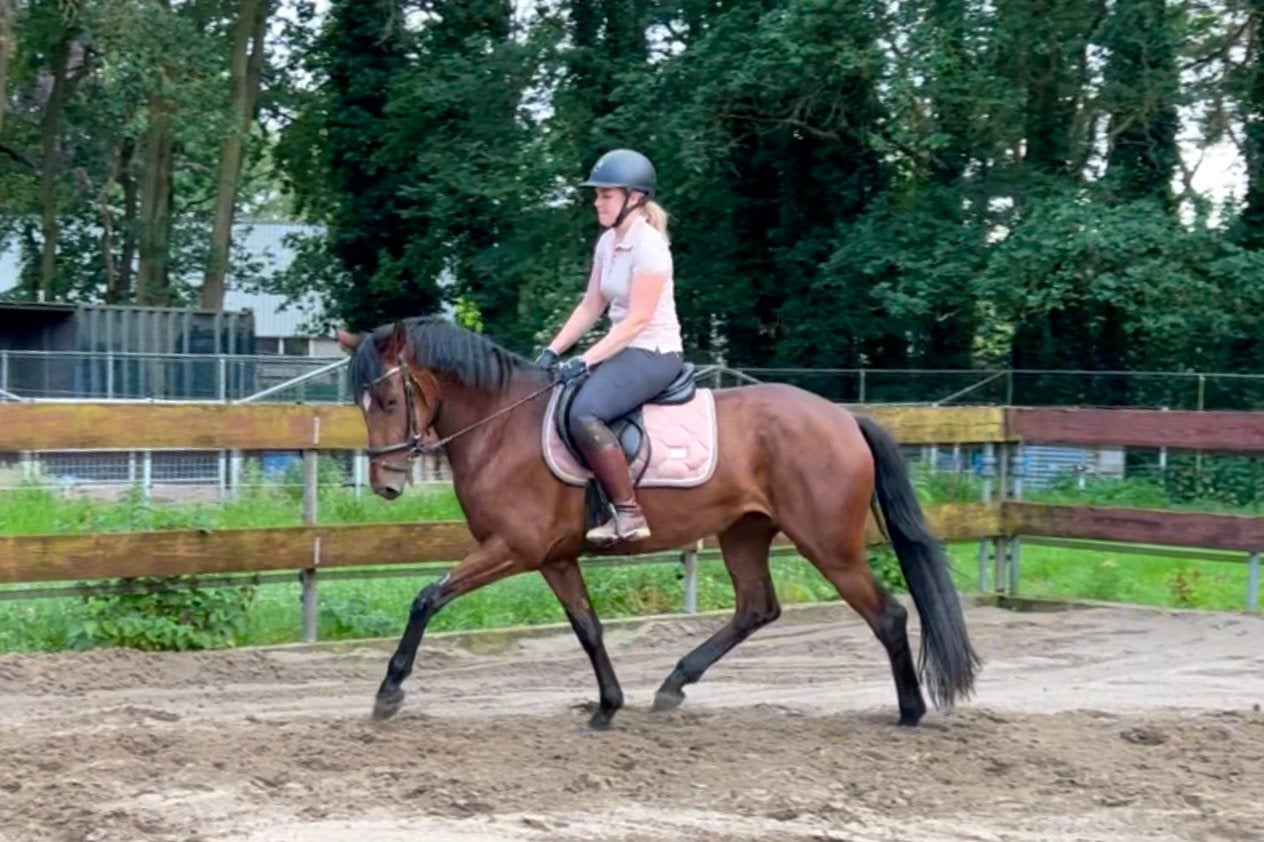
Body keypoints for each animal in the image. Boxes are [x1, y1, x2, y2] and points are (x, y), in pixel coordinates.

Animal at [335, 316, 979, 729]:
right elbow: (588, 628)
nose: (387, 484)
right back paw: (672, 688)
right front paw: (607, 706)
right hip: (744, 531)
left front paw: (388, 694)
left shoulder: (514, 547)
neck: (500, 424)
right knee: (756, 608)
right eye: (361, 405)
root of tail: (846, 420)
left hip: (828, 544)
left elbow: (426, 596)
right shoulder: (554, 557)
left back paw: (910, 711)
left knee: (887, 614)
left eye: (388, 402)